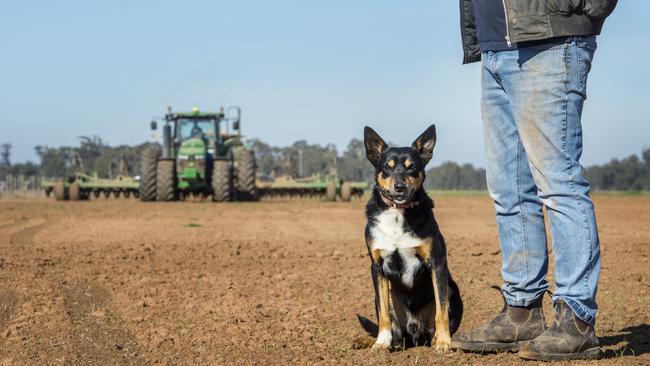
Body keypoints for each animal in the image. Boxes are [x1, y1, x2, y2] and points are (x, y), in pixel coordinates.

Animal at [352, 125, 464, 352]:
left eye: (411, 167)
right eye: (387, 167)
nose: (399, 187)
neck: (397, 213)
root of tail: (414, 333)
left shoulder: (437, 263)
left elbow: (441, 310)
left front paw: (444, 343)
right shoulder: (377, 266)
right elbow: (384, 315)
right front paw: (381, 343)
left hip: (453, 290)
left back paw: (436, 340)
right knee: (395, 333)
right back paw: (371, 341)